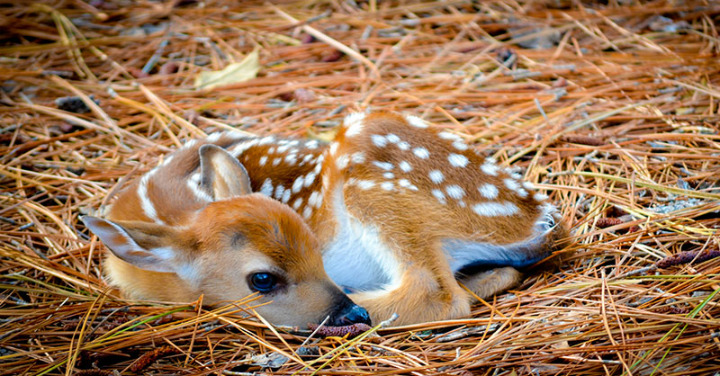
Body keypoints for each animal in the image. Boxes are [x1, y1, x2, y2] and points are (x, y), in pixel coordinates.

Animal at [83, 111, 568, 326]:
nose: (343, 308)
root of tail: (538, 215)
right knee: (494, 275)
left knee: (439, 294)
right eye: (262, 279)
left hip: (372, 173)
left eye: (317, 247)